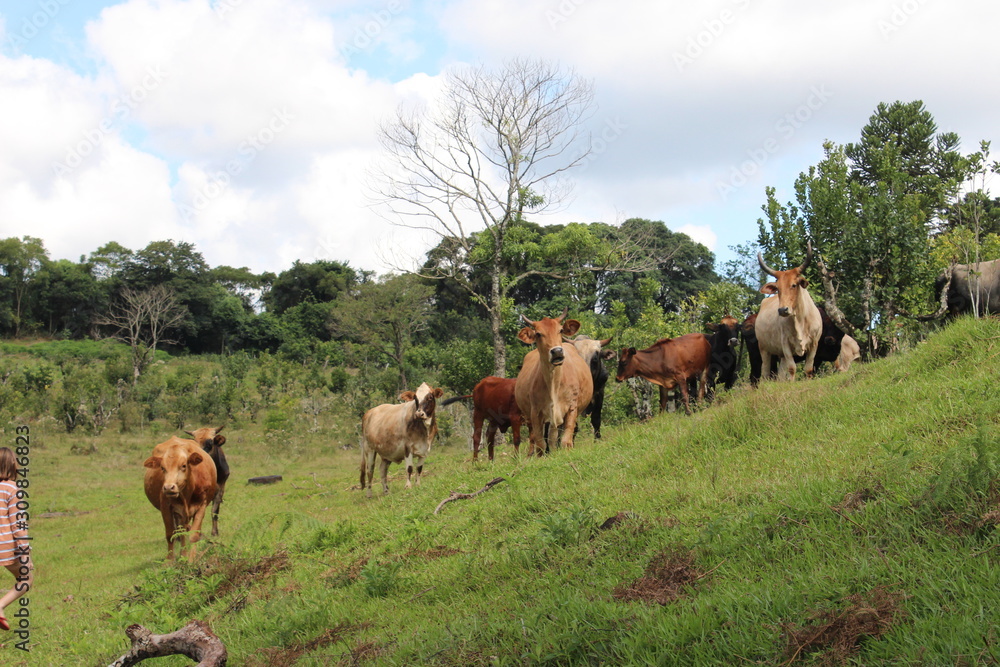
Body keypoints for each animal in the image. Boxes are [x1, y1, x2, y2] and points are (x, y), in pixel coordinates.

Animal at [516, 310, 592, 456]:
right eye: (538, 333)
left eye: (560, 330)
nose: (557, 351)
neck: (554, 384)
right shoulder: (535, 413)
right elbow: (541, 444)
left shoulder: (571, 407)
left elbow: (565, 441)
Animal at [752, 245, 824, 380]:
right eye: (778, 288)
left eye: (794, 285)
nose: (782, 310)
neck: (800, 320)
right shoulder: (785, 344)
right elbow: (792, 368)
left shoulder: (814, 343)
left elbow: (808, 369)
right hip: (764, 349)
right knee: (765, 373)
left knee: (780, 375)